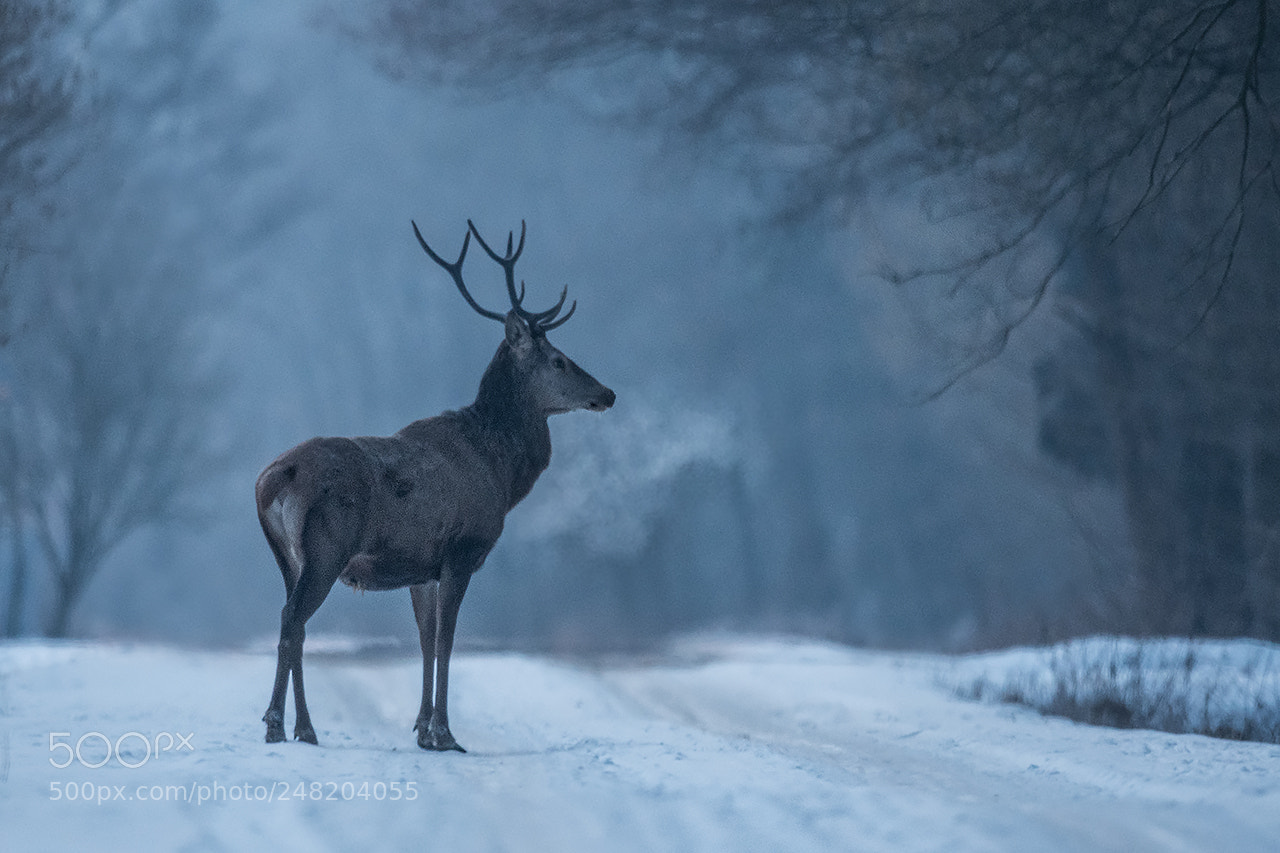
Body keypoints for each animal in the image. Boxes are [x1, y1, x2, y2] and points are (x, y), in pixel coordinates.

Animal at [255, 219, 615, 752]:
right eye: (558, 359)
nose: (607, 393)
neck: (501, 474)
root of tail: (273, 478)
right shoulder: (462, 550)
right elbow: (447, 639)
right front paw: (445, 733)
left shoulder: (421, 568)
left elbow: (425, 641)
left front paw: (422, 728)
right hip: (326, 547)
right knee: (293, 620)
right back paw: (282, 725)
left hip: (286, 555)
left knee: (290, 618)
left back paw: (302, 727)